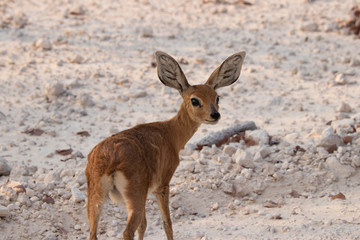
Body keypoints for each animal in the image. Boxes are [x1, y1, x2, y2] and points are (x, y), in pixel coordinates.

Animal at [86, 49, 246, 239]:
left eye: (217, 97)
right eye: (194, 100)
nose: (215, 115)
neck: (171, 134)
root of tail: (110, 160)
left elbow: (144, 225)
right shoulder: (162, 185)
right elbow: (167, 224)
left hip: (97, 197)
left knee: (94, 233)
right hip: (133, 196)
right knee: (127, 231)